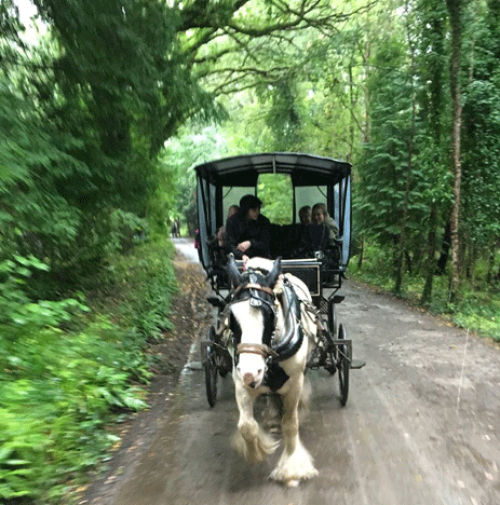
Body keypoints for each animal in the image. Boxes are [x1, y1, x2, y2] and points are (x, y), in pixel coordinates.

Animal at [226, 256, 318, 484]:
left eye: (269, 314)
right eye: (231, 316)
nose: (250, 372)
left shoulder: (294, 382)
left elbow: (290, 423)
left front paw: (292, 467)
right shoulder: (240, 381)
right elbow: (247, 426)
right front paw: (256, 451)